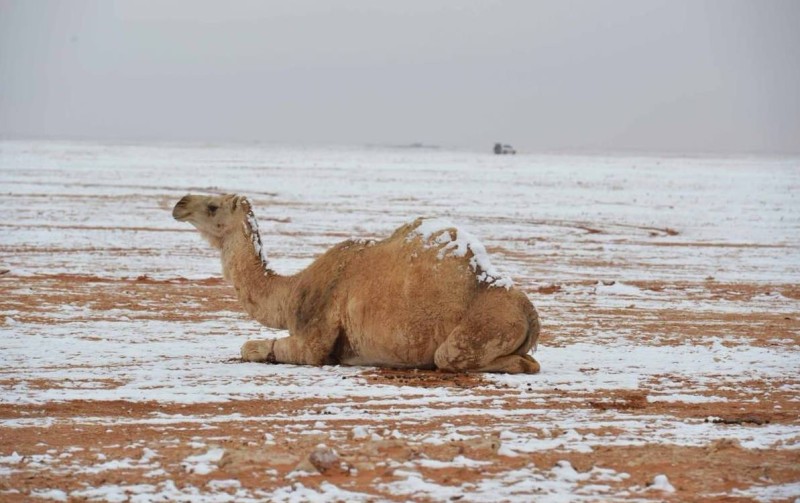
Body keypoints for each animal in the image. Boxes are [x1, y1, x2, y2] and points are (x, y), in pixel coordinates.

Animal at [172, 193, 540, 374]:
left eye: (212, 206)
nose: (179, 204)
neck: (293, 291)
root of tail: (529, 312)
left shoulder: (315, 336)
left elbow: (254, 348)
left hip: (481, 328)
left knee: (454, 357)